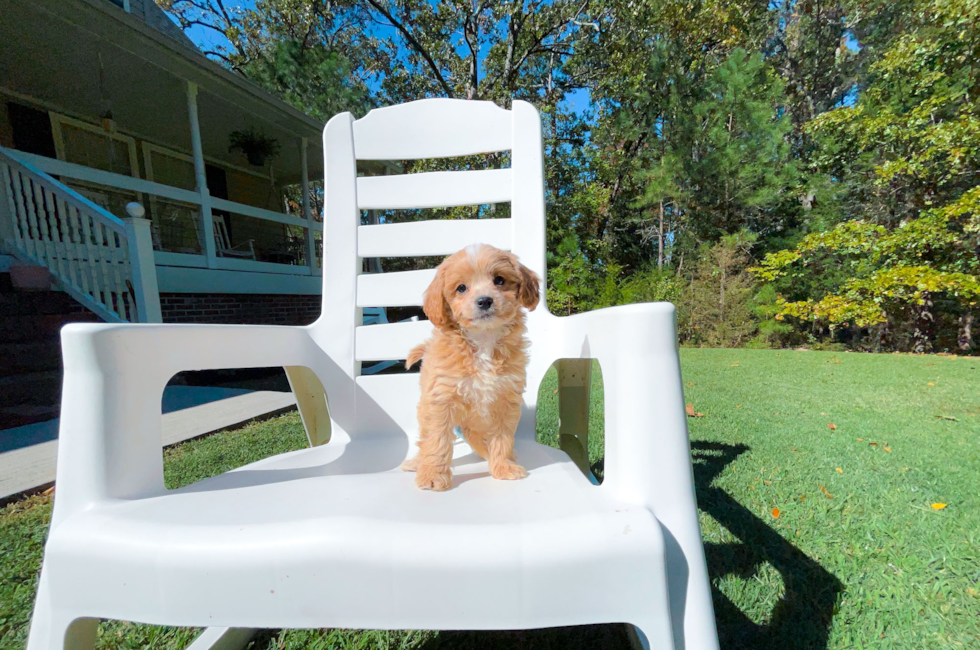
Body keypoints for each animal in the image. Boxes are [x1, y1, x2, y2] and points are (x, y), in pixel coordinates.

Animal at [404, 246, 544, 488]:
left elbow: (502, 437)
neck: (483, 340)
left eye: (499, 280)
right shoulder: (440, 399)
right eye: (461, 288)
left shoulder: (506, 398)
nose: (485, 300)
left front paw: (503, 467)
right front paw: (432, 476)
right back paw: (417, 463)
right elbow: (436, 439)